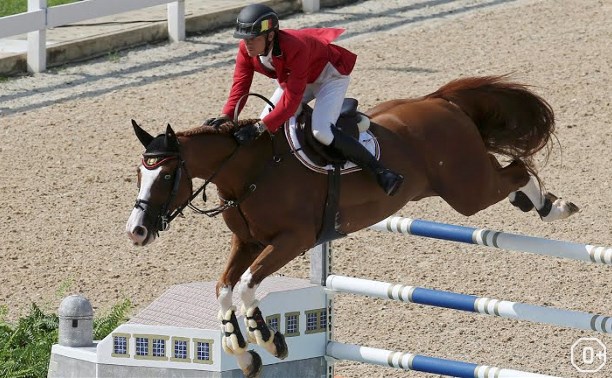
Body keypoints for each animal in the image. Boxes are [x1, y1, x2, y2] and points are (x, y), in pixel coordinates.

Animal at [125, 75, 580, 376]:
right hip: (466, 184)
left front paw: (269, 339)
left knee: (516, 168)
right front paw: (242, 352)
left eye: (167, 175)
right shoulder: (248, 240)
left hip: (468, 192)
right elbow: (224, 288)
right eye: (139, 173)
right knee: (509, 170)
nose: (137, 231)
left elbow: (249, 284)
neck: (251, 170)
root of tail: (440, 101)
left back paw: (552, 207)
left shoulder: (292, 240)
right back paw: (536, 203)